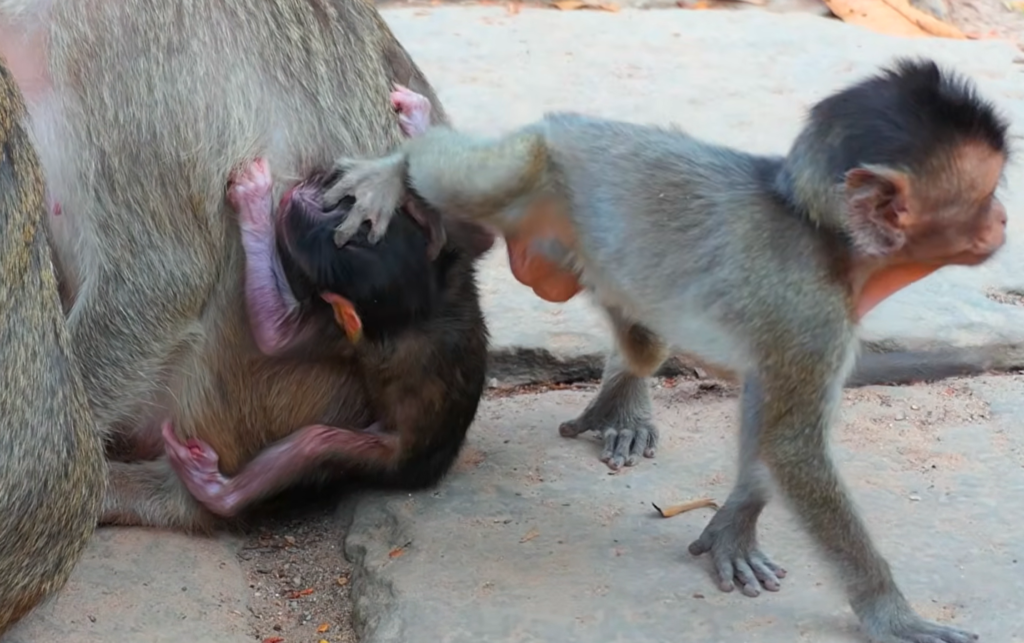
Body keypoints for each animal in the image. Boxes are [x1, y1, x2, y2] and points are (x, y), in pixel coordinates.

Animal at [162, 156, 492, 517]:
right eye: (345, 208)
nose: (301, 197)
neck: (421, 302)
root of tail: (437, 463)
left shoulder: (339, 326)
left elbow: (273, 336)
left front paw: (255, 204)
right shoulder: (453, 273)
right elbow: (474, 231)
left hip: (389, 455)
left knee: (314, 446)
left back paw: (213, 488)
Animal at [321, 59, 1009, 643]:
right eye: (985, 194)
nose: (1002, 220)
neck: (825, 236)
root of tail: (568, 125)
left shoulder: (805, 327)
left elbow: (766, 417)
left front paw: (734, 527)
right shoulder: (811, 313)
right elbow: (793, 446)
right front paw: (889, 613)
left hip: (571, 241)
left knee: (642, 338)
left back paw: (619, 392)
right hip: (533, 163)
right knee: (468, 177)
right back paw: (405, 154)